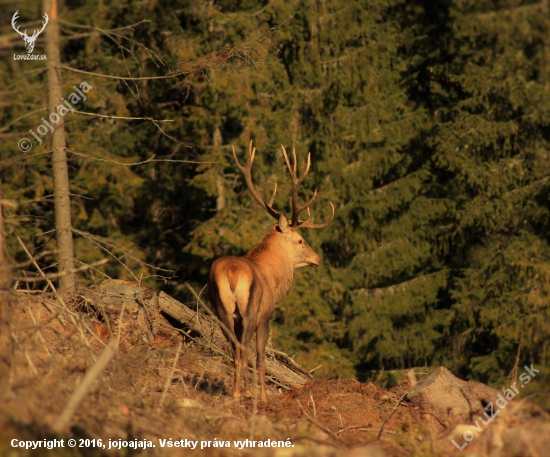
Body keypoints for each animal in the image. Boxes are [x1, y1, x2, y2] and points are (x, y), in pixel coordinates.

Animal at [208, 139, 334, 400]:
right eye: (300, 240)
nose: (318, 258)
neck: (274, 280)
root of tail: (232, 274)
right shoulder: (266, 315)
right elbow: (260, 357)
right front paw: (263, 397)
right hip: (249, 310)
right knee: (244, 351)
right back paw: (243, 393)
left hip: (222, 310)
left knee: (235, 350)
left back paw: (236, 392)